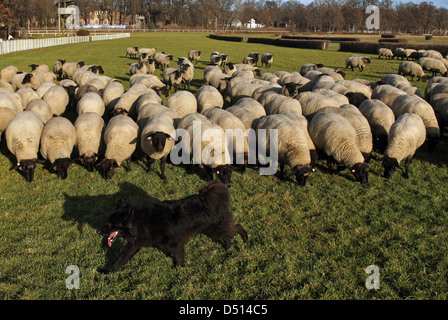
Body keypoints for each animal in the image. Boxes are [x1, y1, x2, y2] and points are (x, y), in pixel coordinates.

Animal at [96, 180, 248, 272]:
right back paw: (228, 247)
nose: (98, 231)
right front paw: (107, 270)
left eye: (111, 224)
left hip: (215, 230)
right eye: (107, 222)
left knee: (237, 226)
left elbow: (179, 257)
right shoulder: (133, 245)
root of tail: (206, 200)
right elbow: (120, 259)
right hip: (214, 231)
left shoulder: (175, 244)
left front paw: (178, 270)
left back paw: (245, 238)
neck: (139, 222)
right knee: (228, 235)